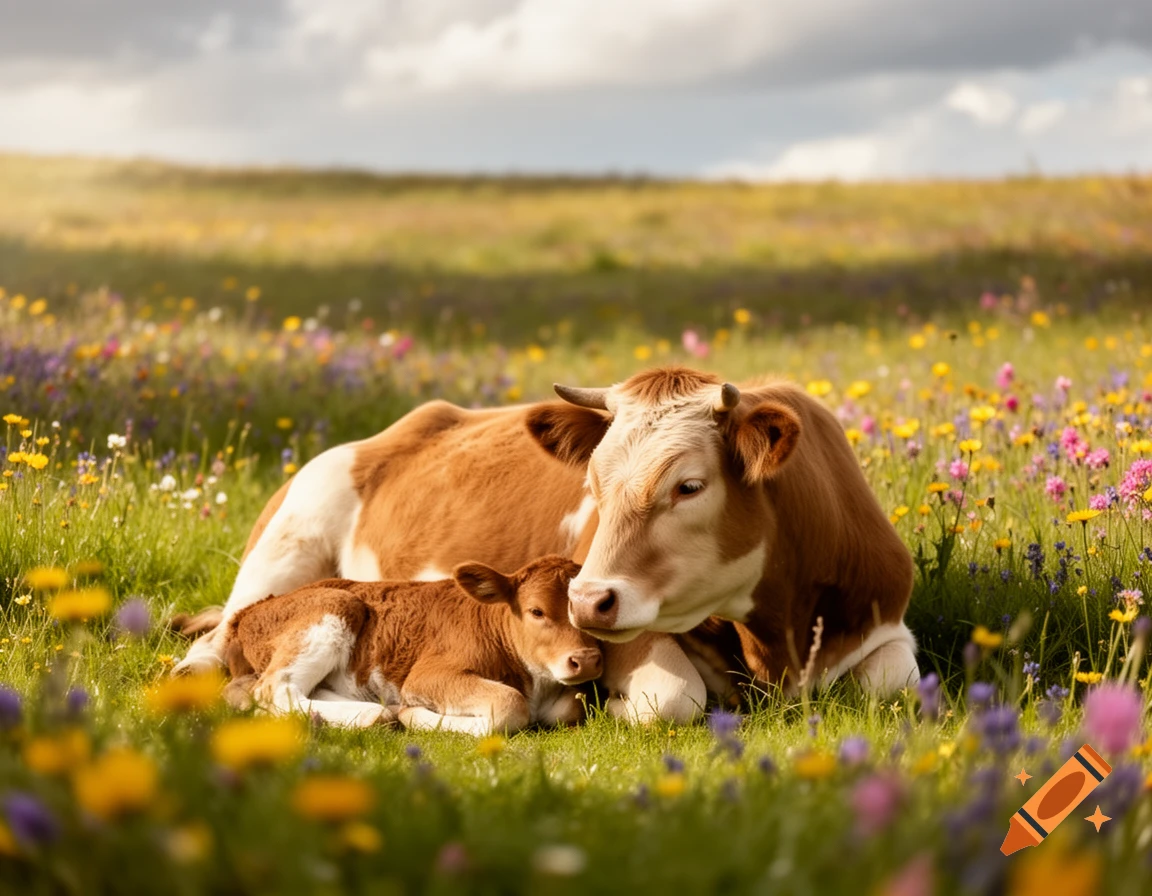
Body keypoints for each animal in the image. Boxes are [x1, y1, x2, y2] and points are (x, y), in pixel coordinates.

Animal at [221, 556, 601, 734]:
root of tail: (247, 611)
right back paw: (377, 714)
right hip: (332, 608)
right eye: (536, 611)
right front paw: (413, 714)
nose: (585, 659)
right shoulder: (428, 675)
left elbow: (569, 707)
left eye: (595, 609)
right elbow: (509, 705)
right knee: (273, 690)